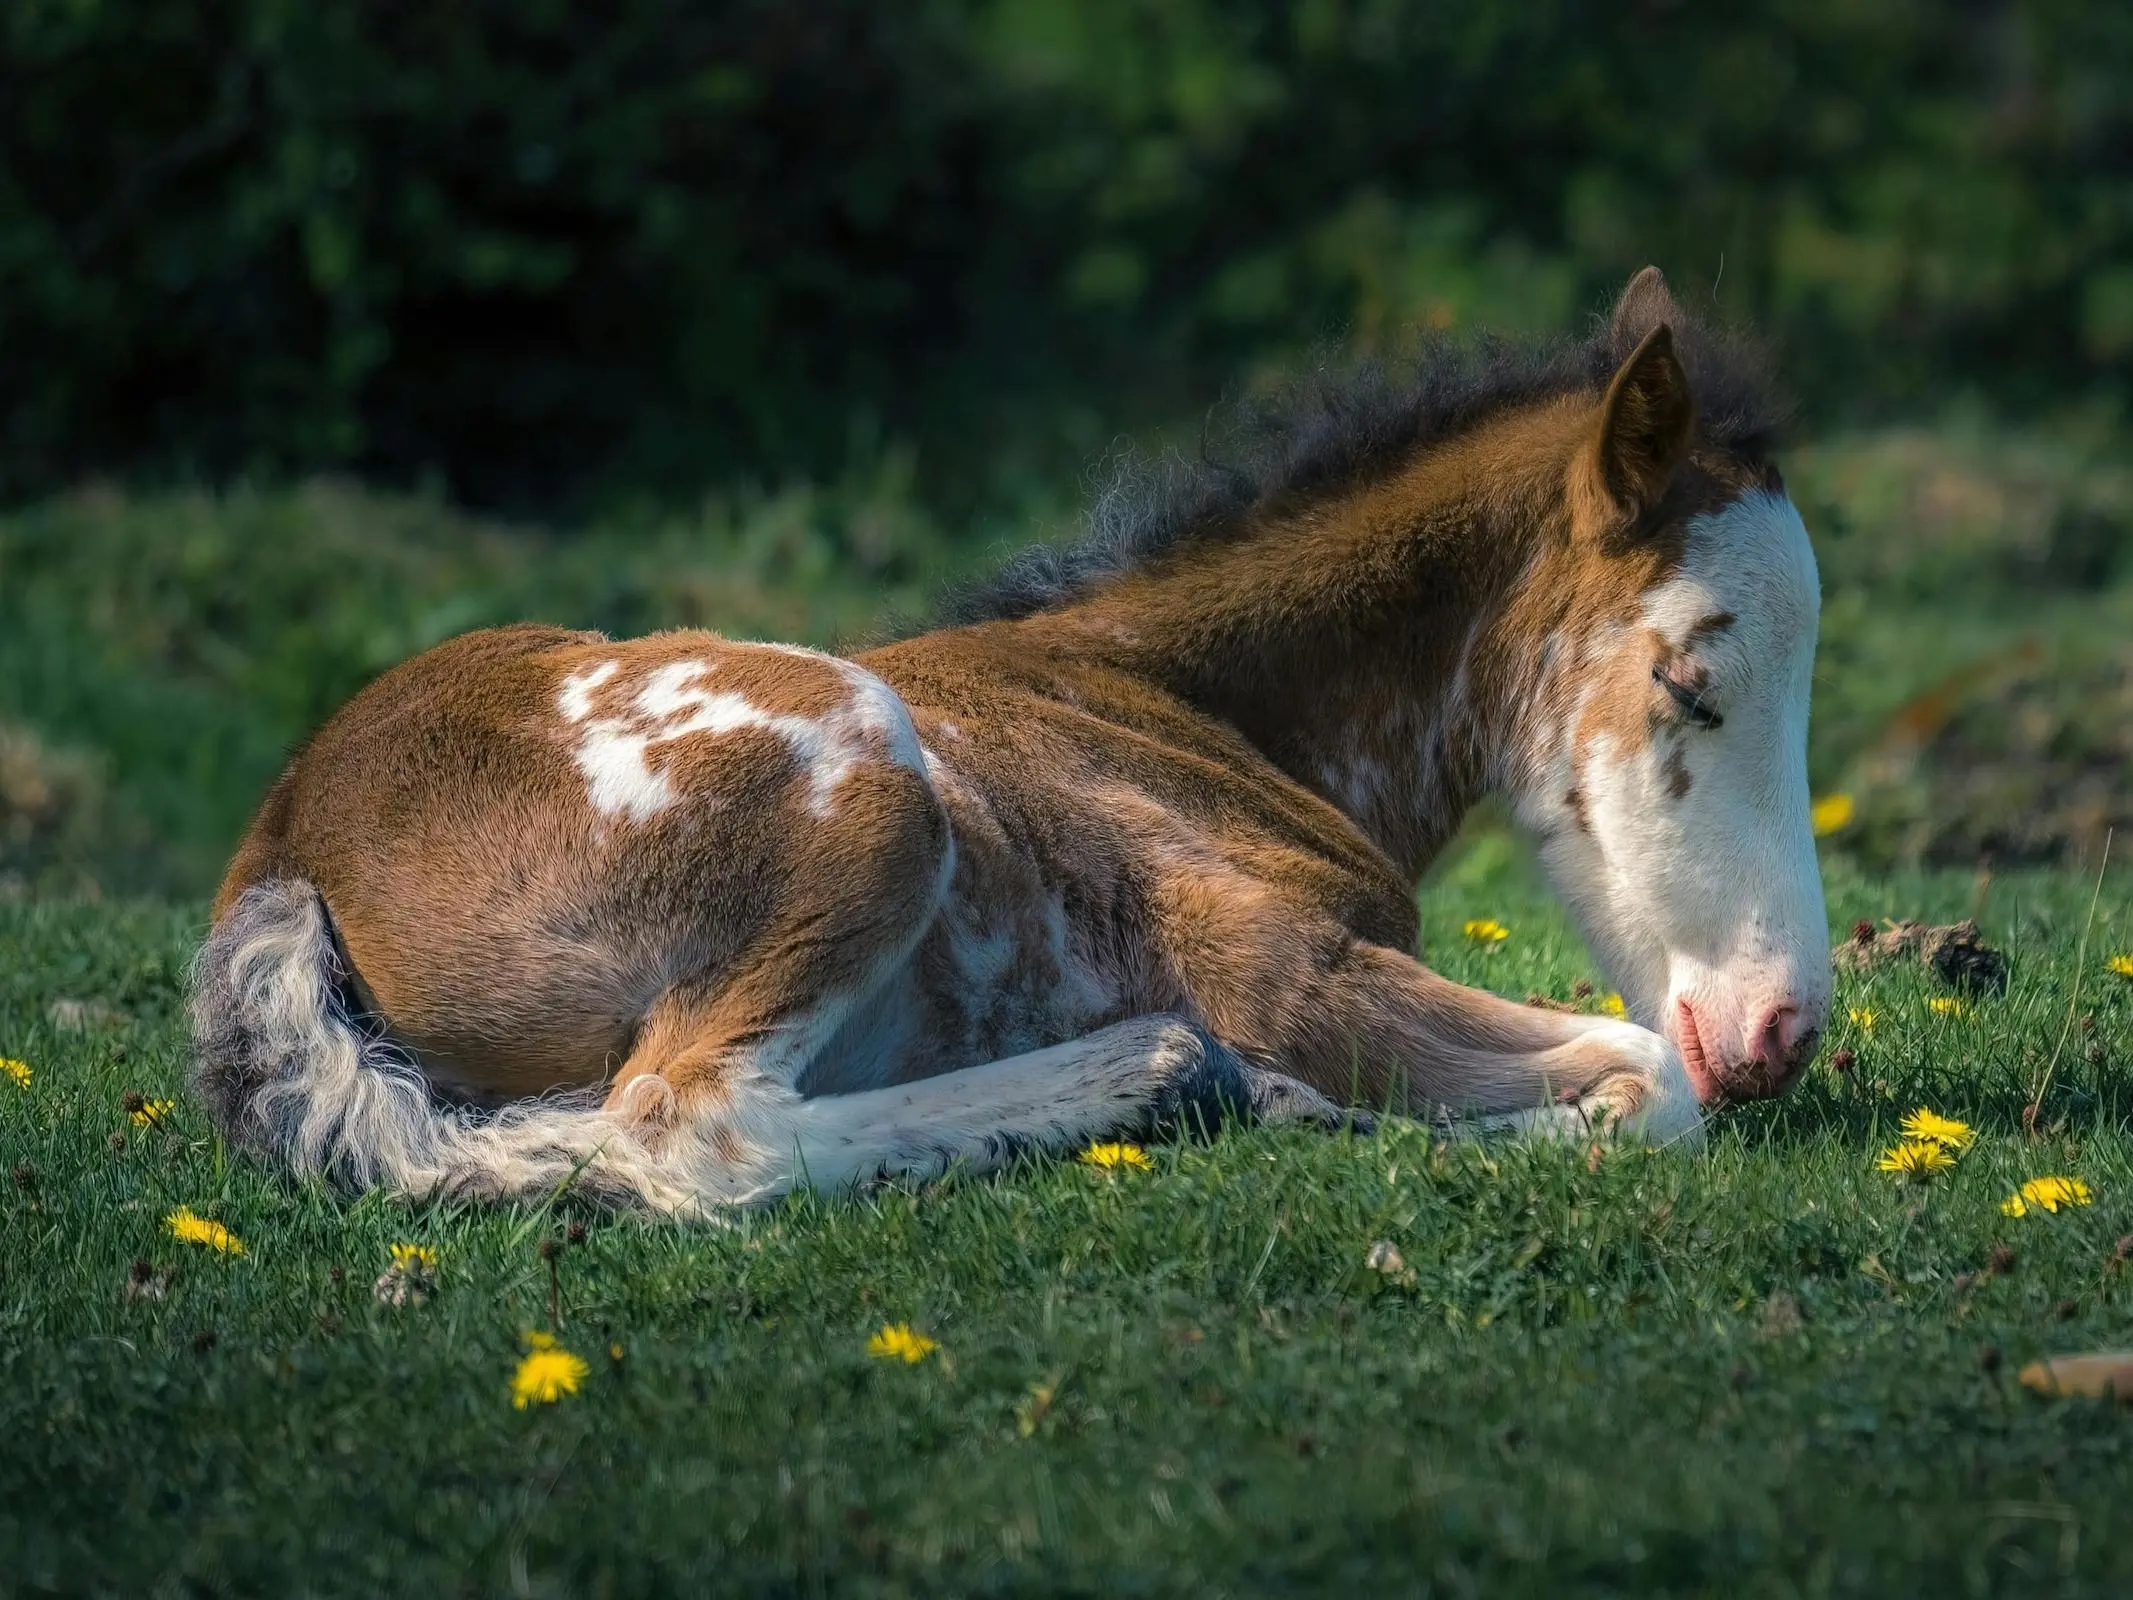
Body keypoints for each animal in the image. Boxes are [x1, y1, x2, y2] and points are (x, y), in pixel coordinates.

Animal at [191, 268, 1830, 1215]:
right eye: (1690, 684)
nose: (1782, 1030)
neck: (1197, 704)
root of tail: (284, 834)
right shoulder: (1282, 966)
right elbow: (1648, 1085)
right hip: (862, 774)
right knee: (693, 1130)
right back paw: (1159, 1076)